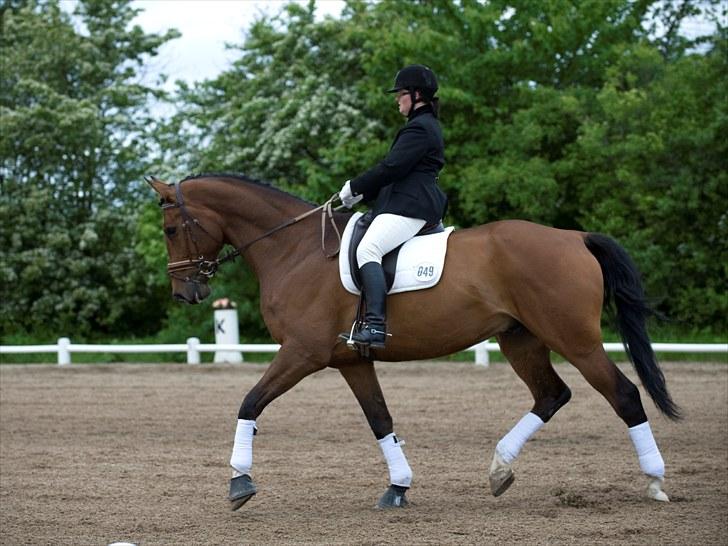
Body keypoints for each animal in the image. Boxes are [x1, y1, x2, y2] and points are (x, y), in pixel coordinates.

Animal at [145, 172, 680, 508]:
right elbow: (381, 419)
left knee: (623, 394)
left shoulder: (302, 353)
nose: (185, 293)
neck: (295, 249)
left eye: (170, 229)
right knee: (552, 394)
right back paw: (499, 471)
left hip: (574, 339)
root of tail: (573, 237)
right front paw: (398, 488)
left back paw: (655, 482)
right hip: (520, 339)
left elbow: (250, 402)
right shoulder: (350, 360)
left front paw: (239, 481)